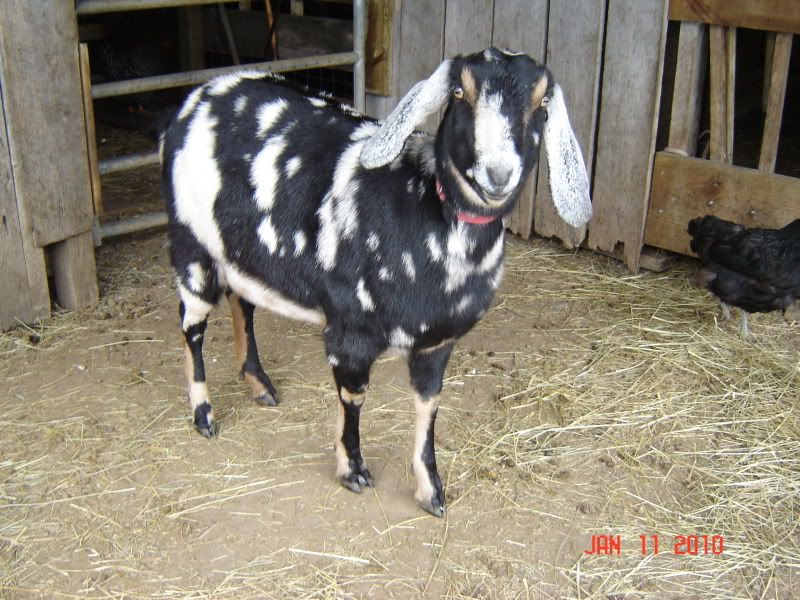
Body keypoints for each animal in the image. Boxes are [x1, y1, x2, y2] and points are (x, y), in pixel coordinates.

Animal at [160, 47, 592, 516]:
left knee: (243, 302)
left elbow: (429, 407)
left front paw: (431, 490)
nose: (498, 174)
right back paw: (204, 414)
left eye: (542, 102)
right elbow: (354, 399)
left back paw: (258, 383)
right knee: (191, 326)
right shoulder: (350, 331)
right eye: (459, 92)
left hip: (239, 251)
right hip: (192, 247)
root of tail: (197, 97)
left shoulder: (438, 344)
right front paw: (352, 470)